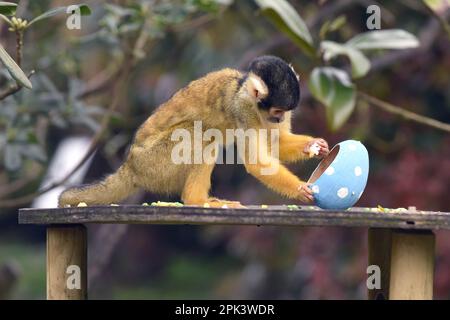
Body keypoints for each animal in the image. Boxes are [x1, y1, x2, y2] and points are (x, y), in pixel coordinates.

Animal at [59, 55, 326, 208]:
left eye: (285, 112)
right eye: (277, 110)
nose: (279, 118)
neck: (244, 91)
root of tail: (130, 166)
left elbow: (276, 141)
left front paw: (315, 146)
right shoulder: (242, 109)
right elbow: (258, 162)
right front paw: (300, 189)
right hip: (154, 163)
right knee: (201, 134)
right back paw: (196, 200)